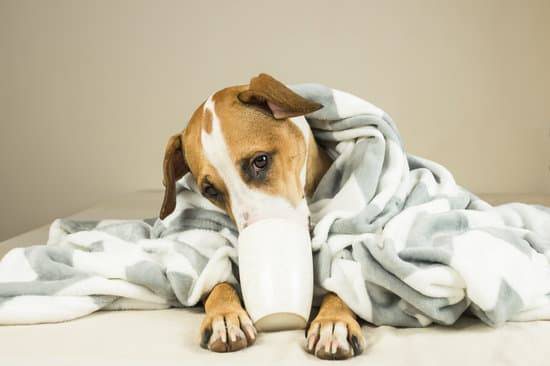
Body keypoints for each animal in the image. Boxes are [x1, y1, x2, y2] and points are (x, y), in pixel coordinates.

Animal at [157, 73, 368, 358]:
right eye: (210, 191)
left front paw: (334, 321)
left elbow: (344, 284)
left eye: (260, 161)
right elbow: (217, 281)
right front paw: (225, 316)